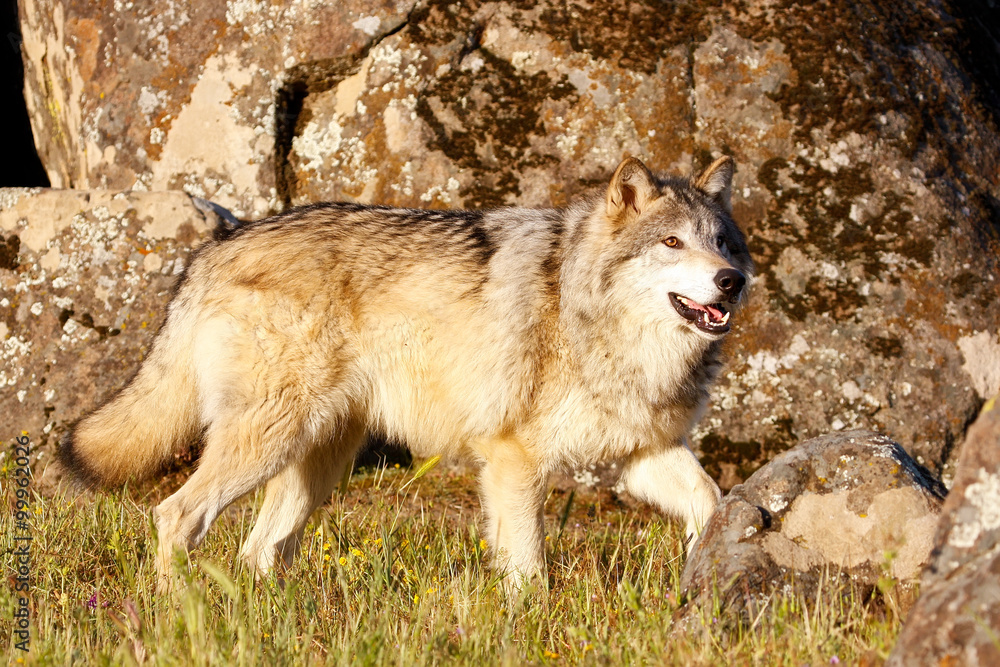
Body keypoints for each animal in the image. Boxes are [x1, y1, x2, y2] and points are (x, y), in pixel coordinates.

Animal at [58, 155, 753, 589]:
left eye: (722, 242)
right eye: (672, 244)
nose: (732, 281)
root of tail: (216, 245)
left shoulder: (642, 452)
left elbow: (711, 503)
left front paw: (704, 578)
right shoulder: (513, 460)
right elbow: (529, 568)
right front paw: (528, 622)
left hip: (317, 465)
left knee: (258, 551)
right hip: (267, 445)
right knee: (175, 515)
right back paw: (182, 612)